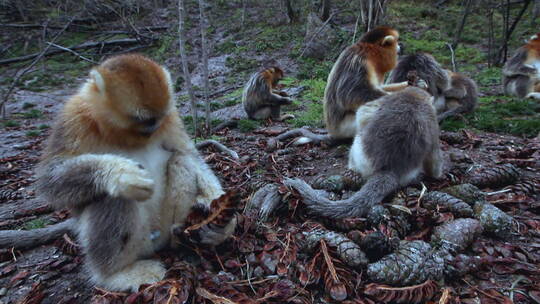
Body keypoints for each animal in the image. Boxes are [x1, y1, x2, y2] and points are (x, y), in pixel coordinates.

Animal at [35, 54, 234, 292]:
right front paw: (120, 175)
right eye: (143, 120)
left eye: (157, 119)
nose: (153, 129)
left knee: (181, 160)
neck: (118, 132)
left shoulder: (170, 116)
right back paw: (114, 274)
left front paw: (221, 219)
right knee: (114, 197)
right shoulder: (74, 117)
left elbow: (189, 153)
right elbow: (50, 181)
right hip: (140, 242)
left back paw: (180, 238)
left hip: (161, 229)